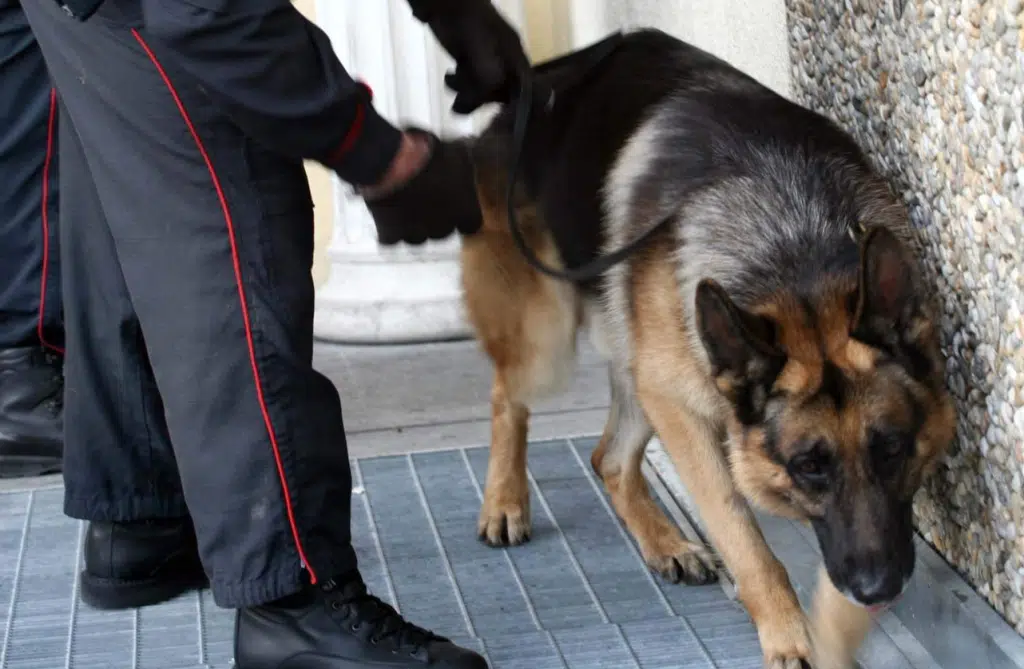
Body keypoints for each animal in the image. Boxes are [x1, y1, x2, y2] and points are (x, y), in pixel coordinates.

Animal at [456, 27, 950, 667]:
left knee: (608, 458)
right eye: (808, 467)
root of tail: (531, 86)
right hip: (554, 340)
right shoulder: (683, 411)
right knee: (507, 399)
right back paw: (504, 501)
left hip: (641, 358)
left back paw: (664, 541)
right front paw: (790, 636)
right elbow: (744, 536)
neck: (795, 253)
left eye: (892, 448)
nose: (878, 589)